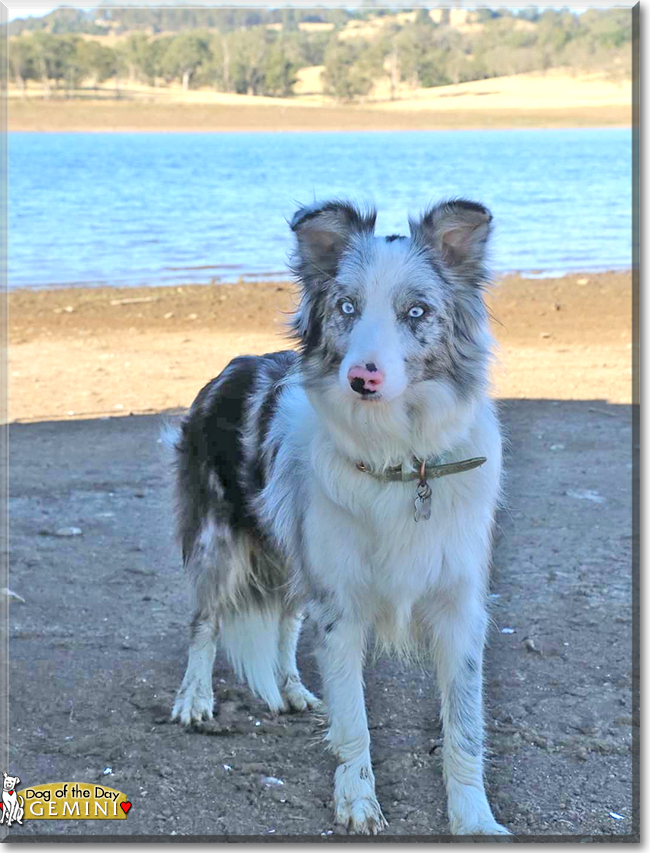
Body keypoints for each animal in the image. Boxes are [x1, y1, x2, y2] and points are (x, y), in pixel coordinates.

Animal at [170, 198, 508, 832]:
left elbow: (465, 728)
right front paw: (356, 801)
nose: (361, 378)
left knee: (285, 620)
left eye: (416, 312)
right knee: (206, 621)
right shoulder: (343, 606)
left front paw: (473, 817)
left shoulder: (458, 607)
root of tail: (231, 366)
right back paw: (195, 699)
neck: (404, 461)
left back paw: (293, 689)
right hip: (219, 544)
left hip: (295, 553)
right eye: (347, 307)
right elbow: (354, 720)